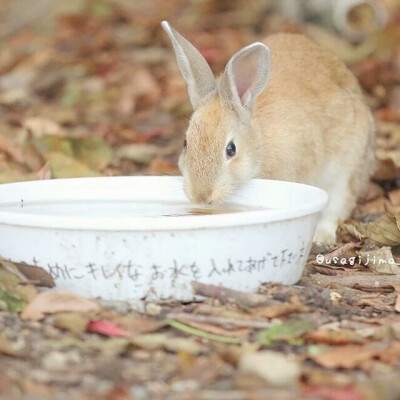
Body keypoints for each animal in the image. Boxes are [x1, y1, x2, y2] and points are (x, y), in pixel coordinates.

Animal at [161, 21, 374, 244]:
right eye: (185, 144)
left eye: (231, 149)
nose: (201, 196)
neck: (259, 145)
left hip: (346, 170)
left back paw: (321, 237)